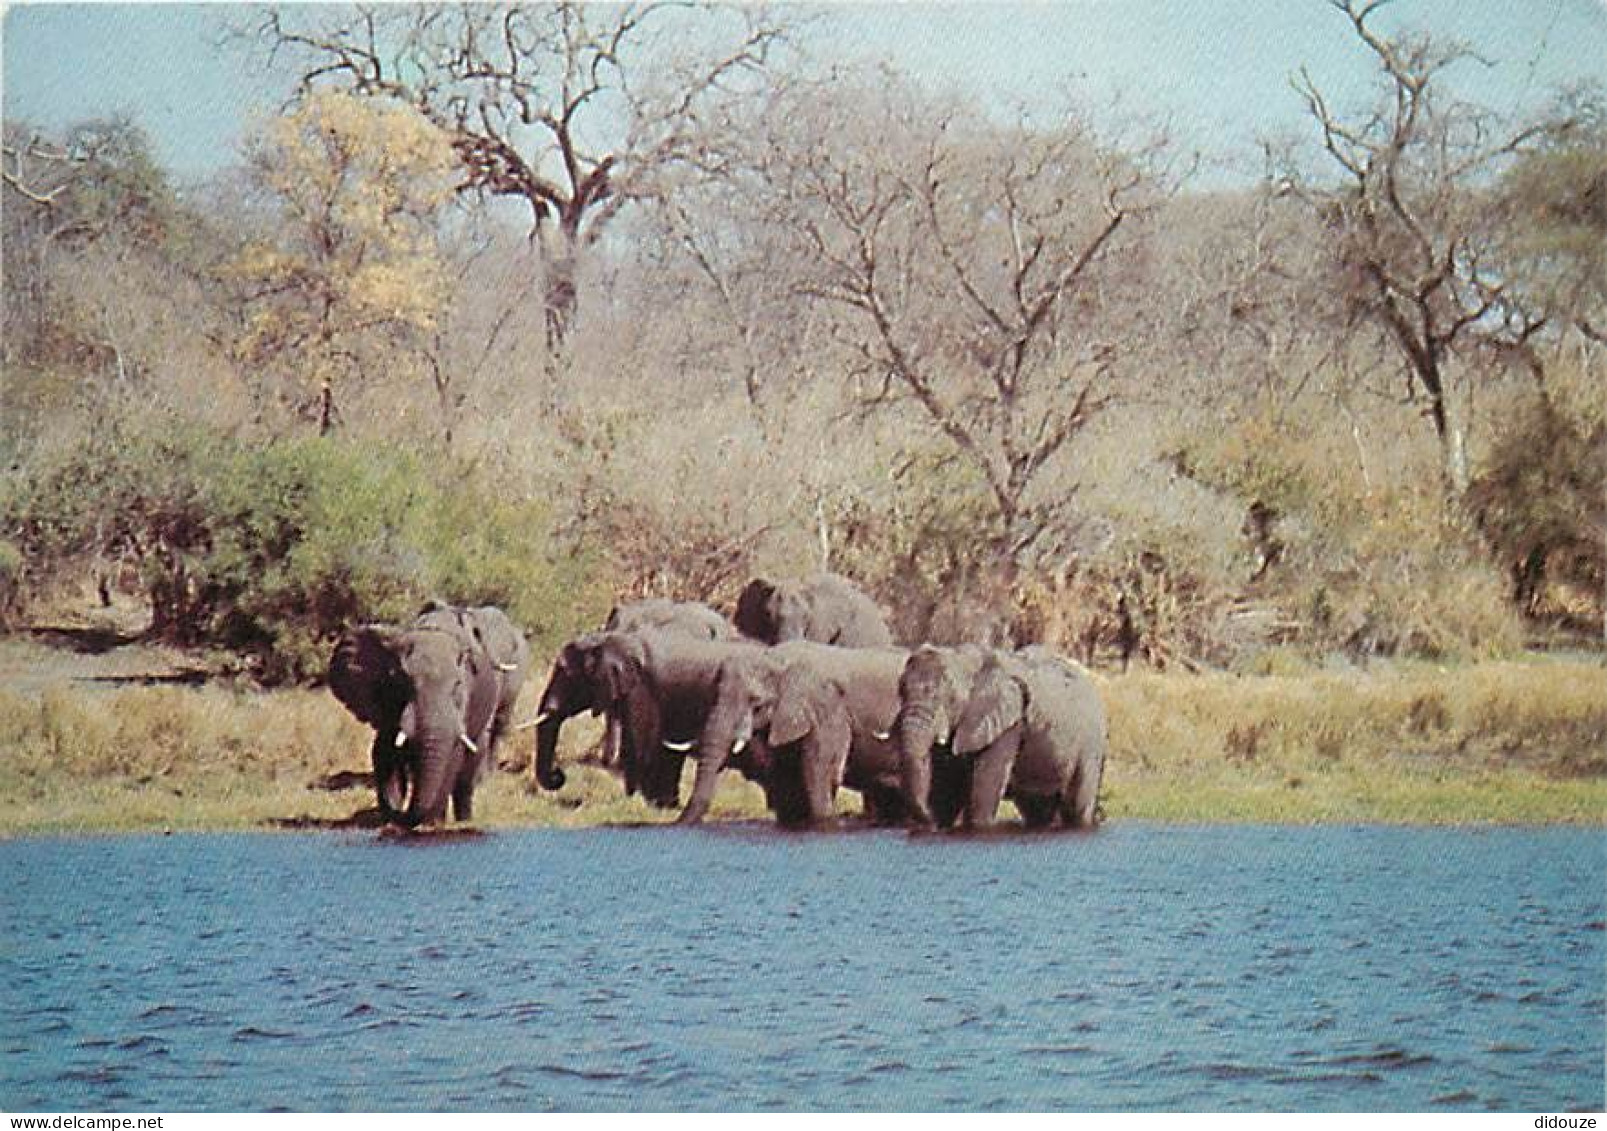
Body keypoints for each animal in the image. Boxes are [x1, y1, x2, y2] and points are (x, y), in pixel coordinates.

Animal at [329, 600, 530, 828]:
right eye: (401, 681)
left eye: (457, 686)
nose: (398, 813)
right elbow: (383, 749)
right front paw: (392, 816)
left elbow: (452, 758)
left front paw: (431, 823)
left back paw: (465, 818)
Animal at [523, 626, 755, 803]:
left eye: (566, 674)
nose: (559, 776)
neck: (607, 640)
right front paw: (653, 802)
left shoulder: (641, 688)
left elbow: (638, 735)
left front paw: (632, 800)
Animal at [674, 639, 938, 828]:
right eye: (713, 694)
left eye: (755, 703)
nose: (676, 824)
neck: (777, 660)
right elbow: (784, 776)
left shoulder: (827, 711)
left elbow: (818, 769)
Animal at [893, 645, 1105, 828]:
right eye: (900, 691)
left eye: (949, 699)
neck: (965, 659)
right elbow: (946, 792)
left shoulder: (1008, 725)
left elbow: (982, 799)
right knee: (1038, 811)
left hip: (1091, 745)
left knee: (1078, 807)